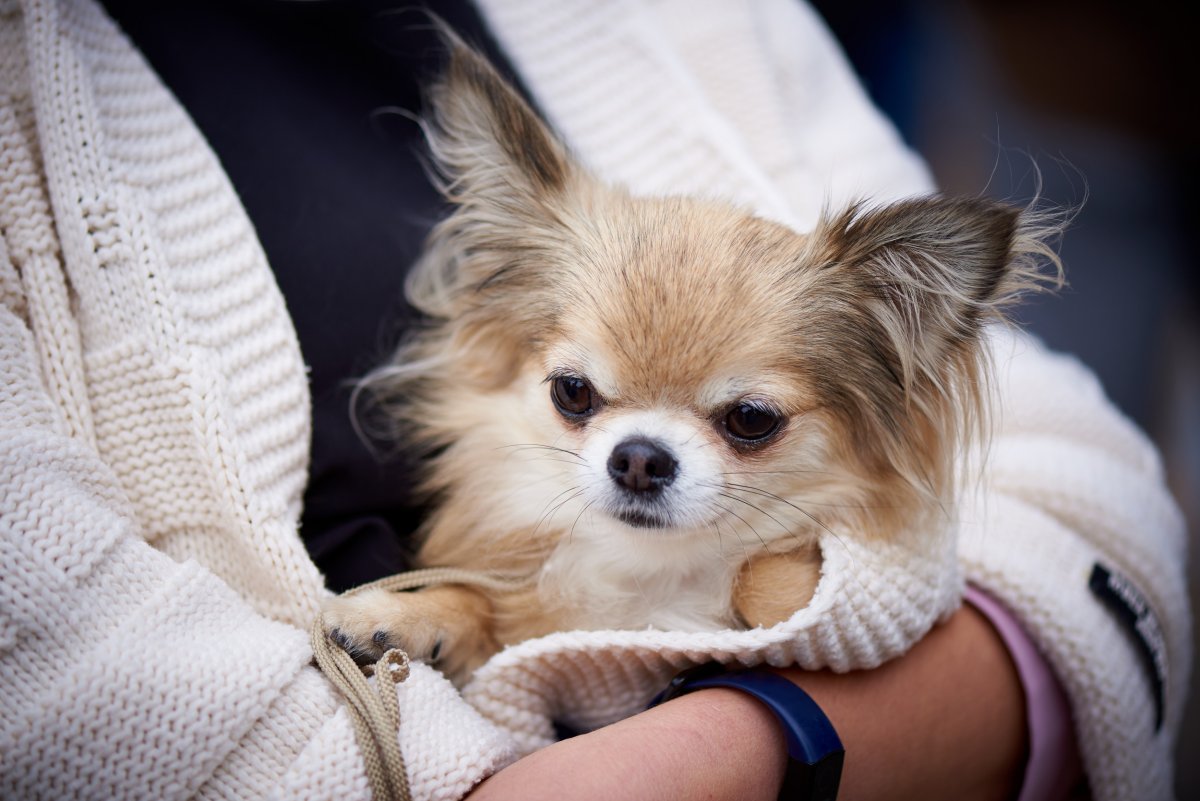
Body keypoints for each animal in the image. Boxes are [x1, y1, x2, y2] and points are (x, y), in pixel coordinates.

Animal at [321, 37, 1060, 685]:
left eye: (752, 419)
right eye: (572, 392)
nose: (639, 458)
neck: (654, 574)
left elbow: (773, 575)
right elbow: (489, 608)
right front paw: (401, 615)